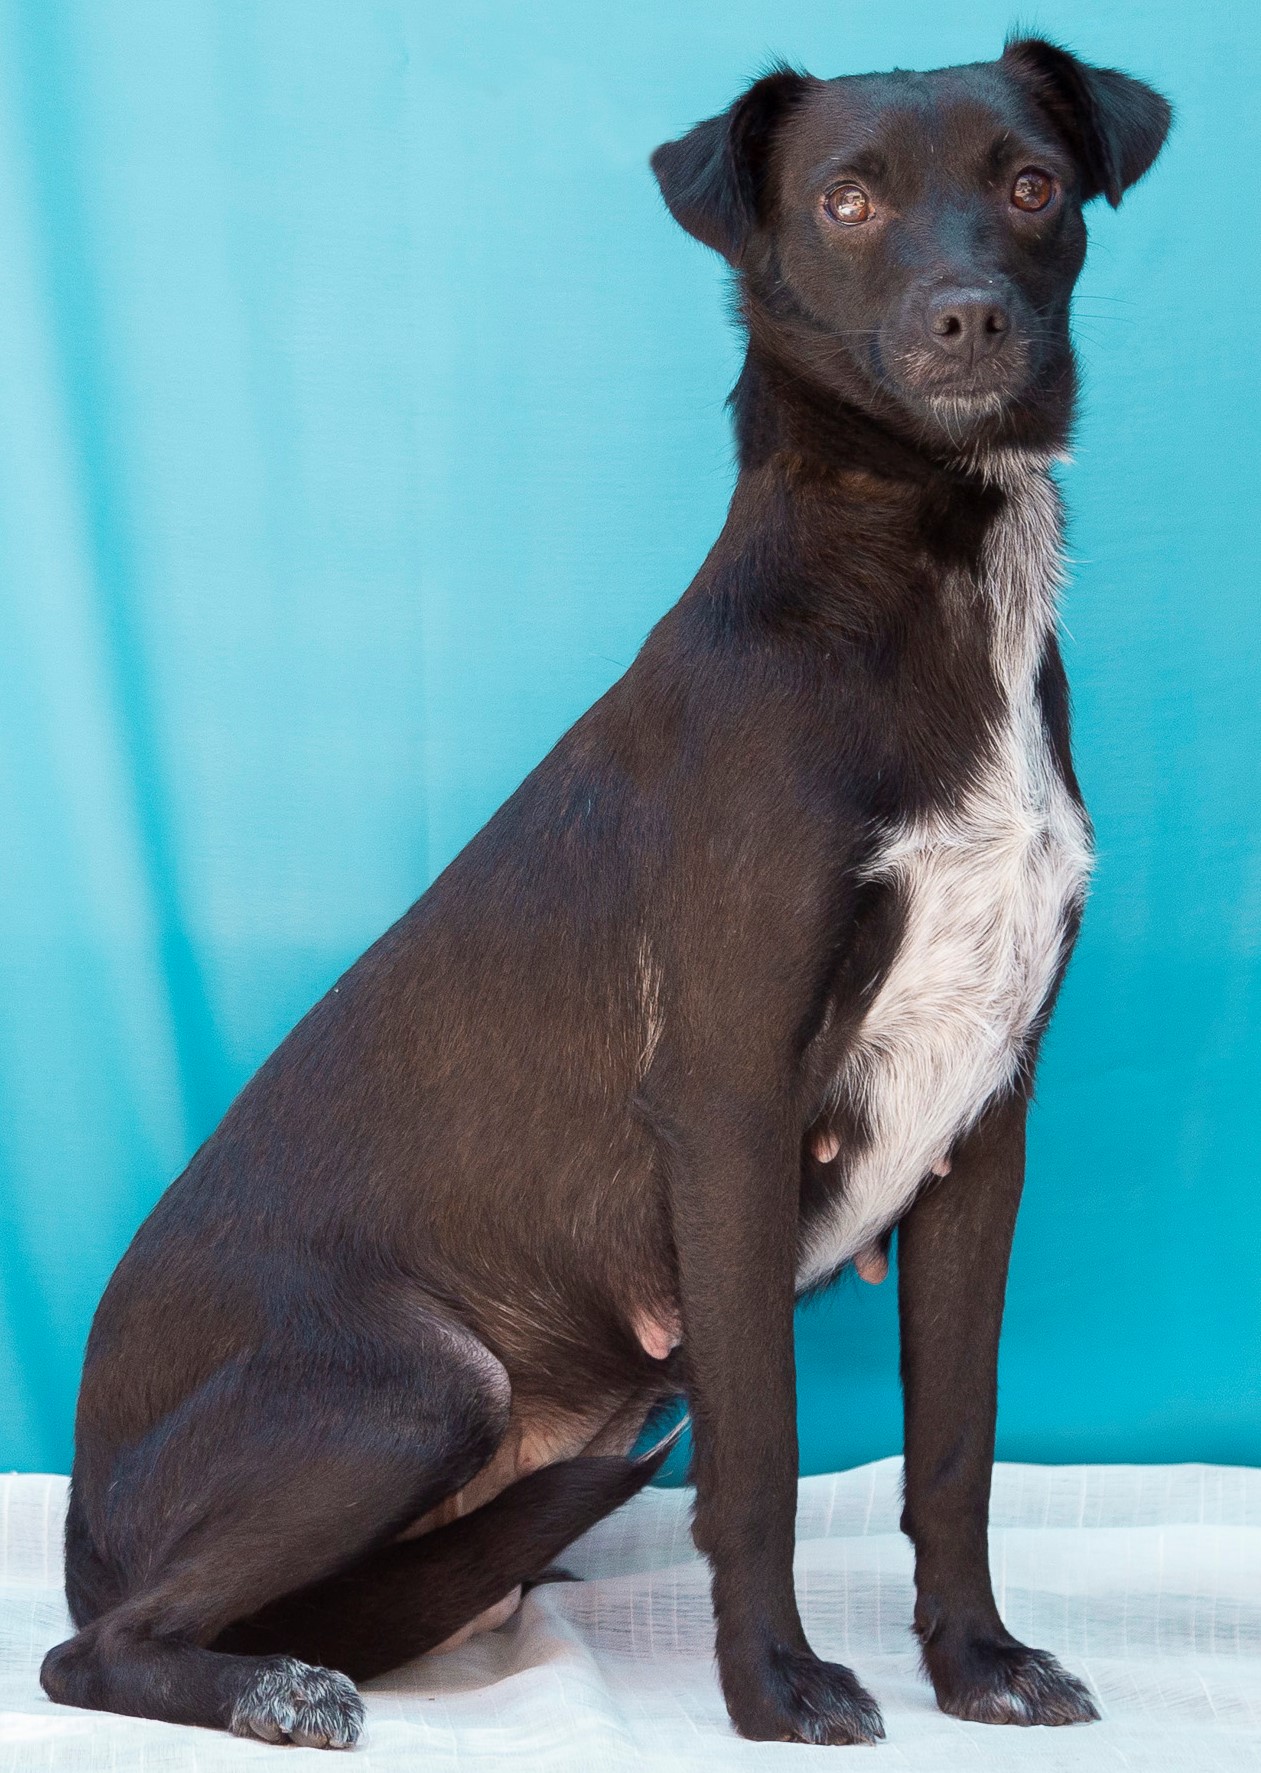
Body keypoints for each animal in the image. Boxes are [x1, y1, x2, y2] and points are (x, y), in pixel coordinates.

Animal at [46, 34, 1170, 1751]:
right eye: (846, 200)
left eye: (1031, 184)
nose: (967, 318)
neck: (921, 575)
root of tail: (78, 1517)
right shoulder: (730, 1105)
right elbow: (762, 1453)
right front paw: (775, 1688)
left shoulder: (982, 1128)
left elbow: (959, 1447)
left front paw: (976, 1661)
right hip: (420, 1383)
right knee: (88, 1654)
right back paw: (269, 1690)